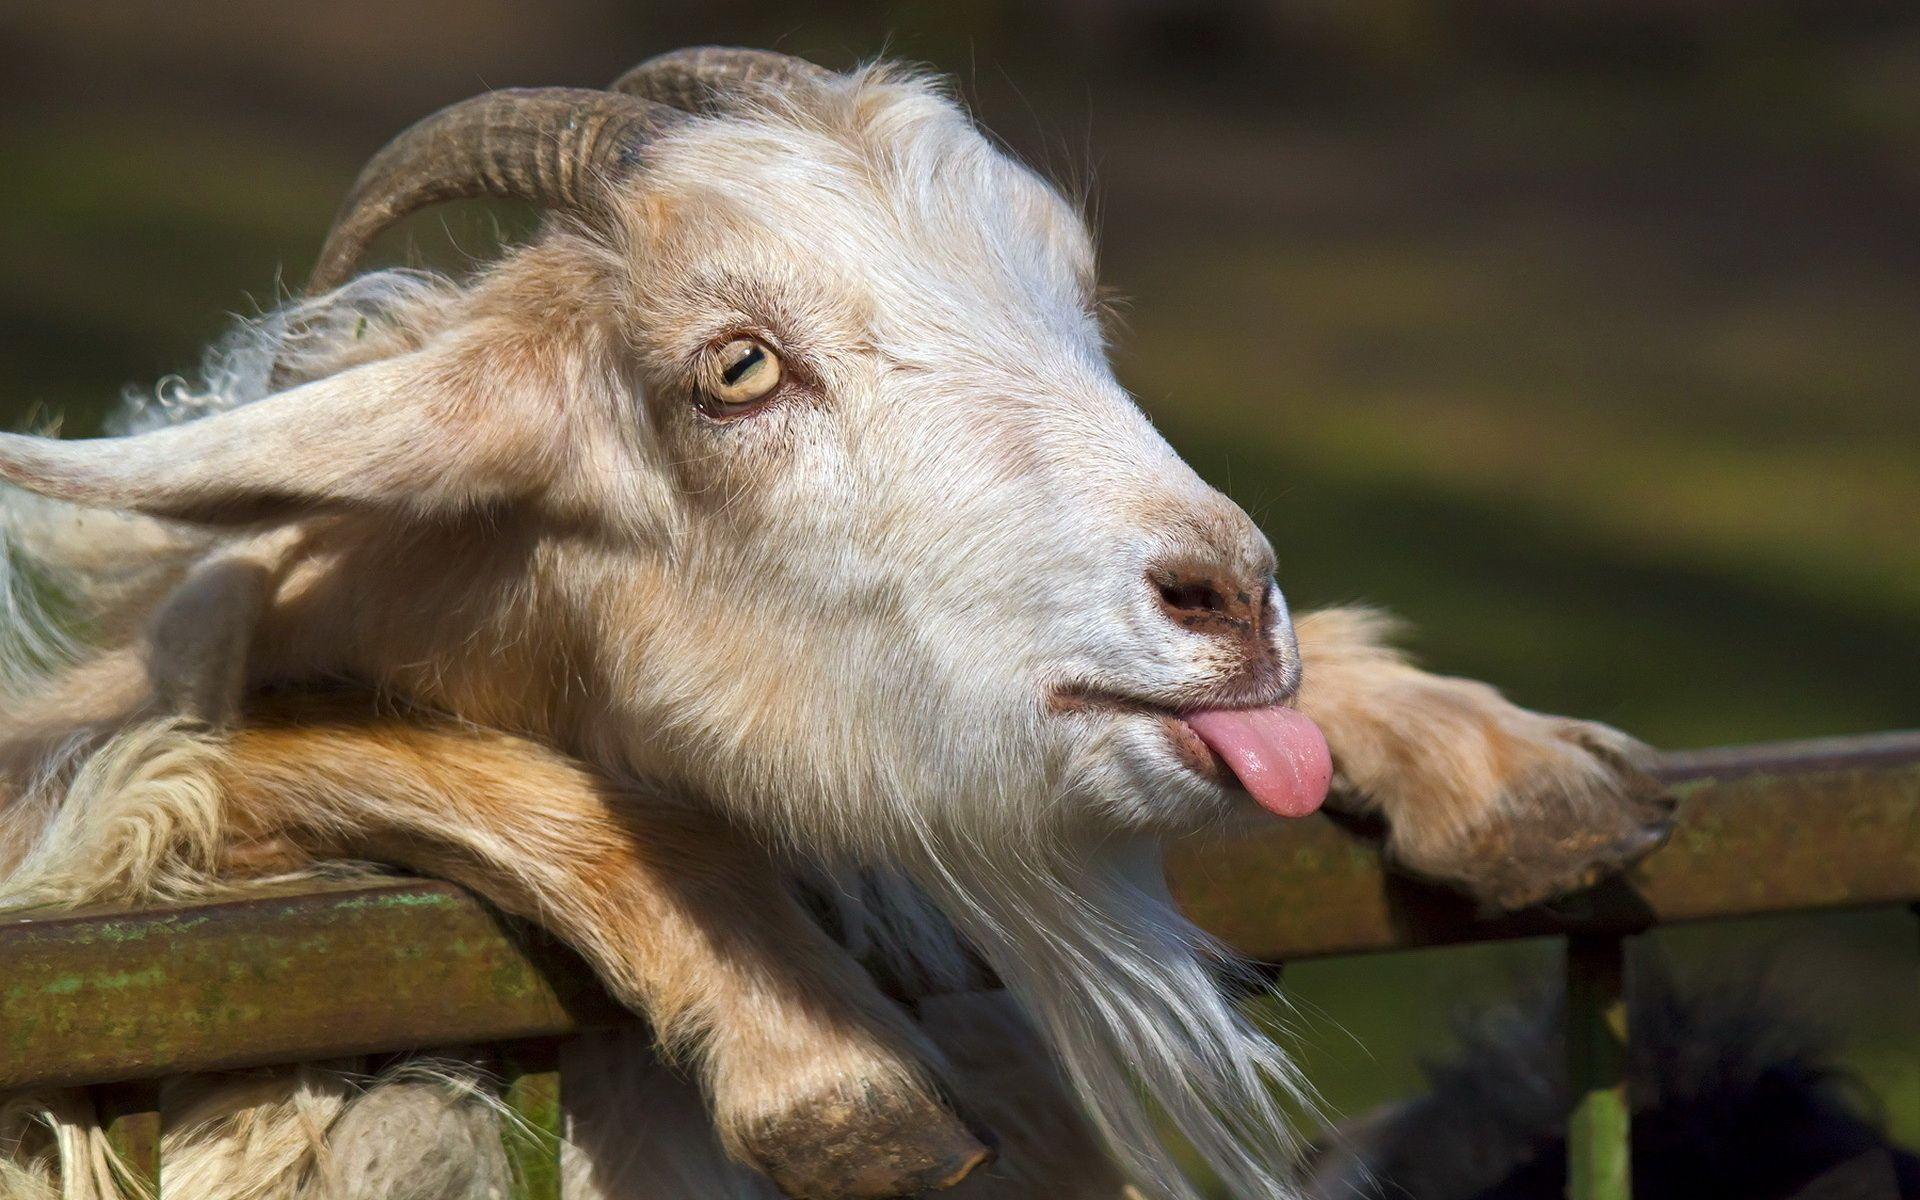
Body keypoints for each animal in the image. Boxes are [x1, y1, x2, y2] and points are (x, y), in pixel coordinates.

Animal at [0, 47, 1672, 1200]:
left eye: (1078, 309)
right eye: (737, 368)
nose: (1230, 599)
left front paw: (1513, 771)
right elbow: (272, 747)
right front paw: (830, 1065)